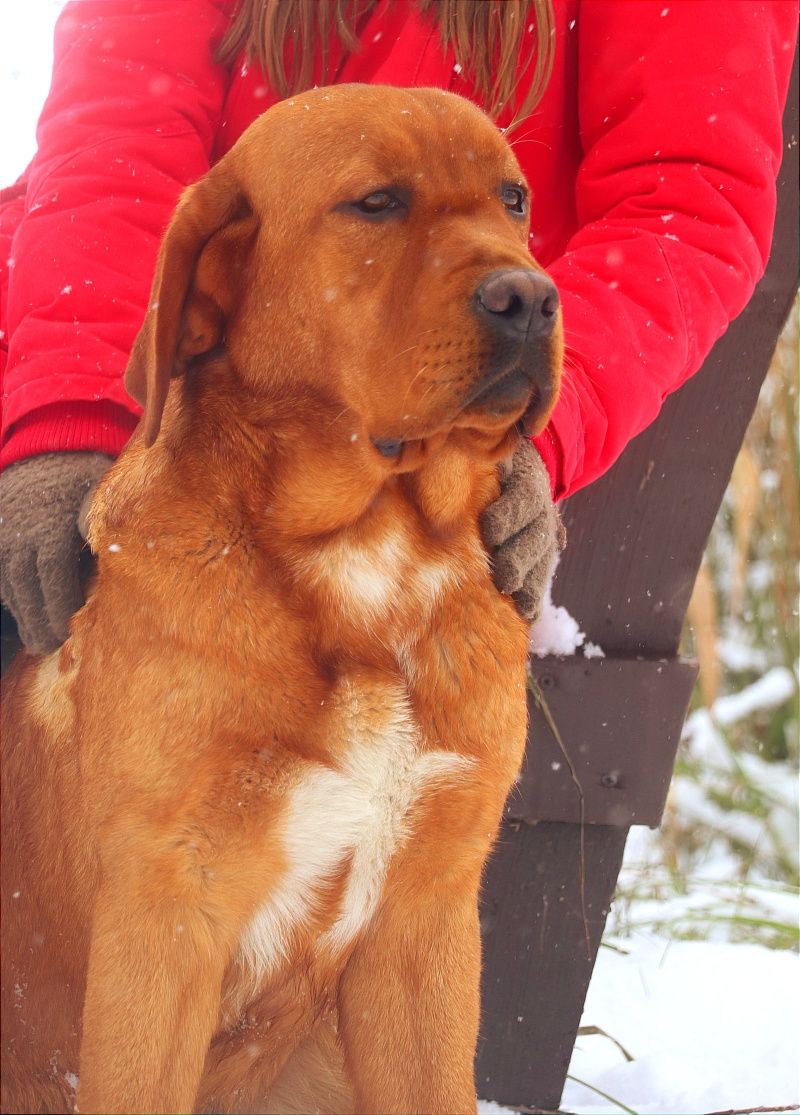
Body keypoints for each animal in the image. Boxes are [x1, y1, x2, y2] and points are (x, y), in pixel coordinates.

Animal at [1, 86, 562, 1115]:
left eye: (514, 200)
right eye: (377, 202)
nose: (533, 298)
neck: (370, 554)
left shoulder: (425, 919)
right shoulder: (165, 917)